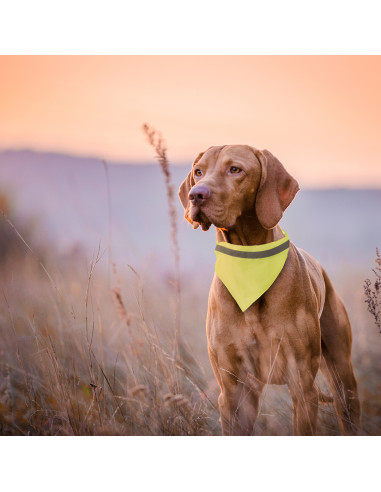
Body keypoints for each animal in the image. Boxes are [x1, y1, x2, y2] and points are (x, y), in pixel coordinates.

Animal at [178, 144, 360, 436]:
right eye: (198, 172)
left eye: (235, 169)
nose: (196, 195)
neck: (249, 265)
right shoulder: (233, 390)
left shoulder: (302, 384)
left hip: (342, 374)